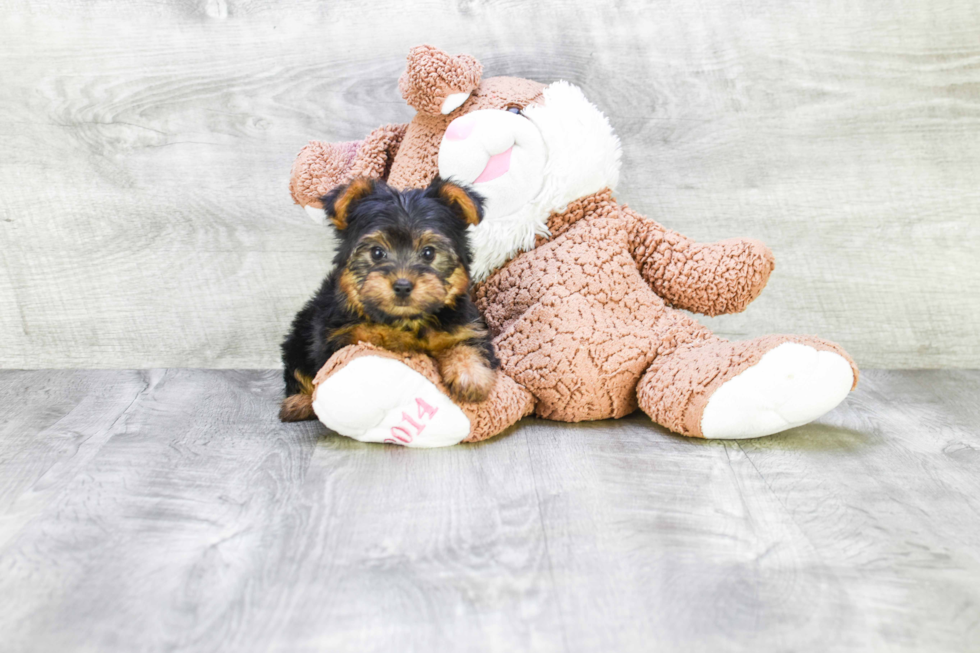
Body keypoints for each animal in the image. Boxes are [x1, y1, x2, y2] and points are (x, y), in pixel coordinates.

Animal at [282, 176, 498, 420]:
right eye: (377, 253)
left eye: (429, 253)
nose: (403, 286)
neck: (406, 321)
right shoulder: (336, 335)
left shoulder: (466, 326)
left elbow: (468, 347)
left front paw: (471, 377)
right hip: (299, 335)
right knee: (297, 370)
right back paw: (299, 403)